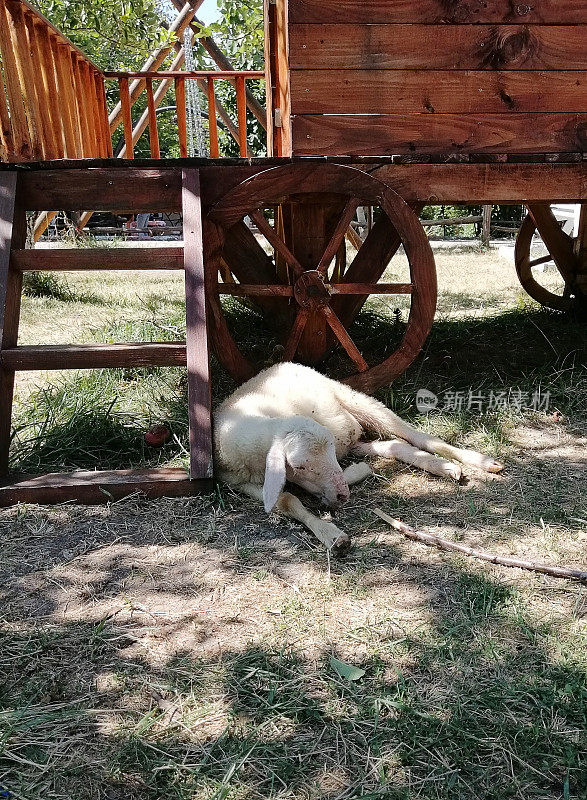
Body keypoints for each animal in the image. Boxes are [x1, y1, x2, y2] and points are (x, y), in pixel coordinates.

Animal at [214, 362, 504, 552]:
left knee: (415, 435)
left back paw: (477, 461)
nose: (342, 495)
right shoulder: (239, 481)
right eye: (299, 465)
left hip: (355, 400)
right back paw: (443, 467)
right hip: (354, 440)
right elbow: (286, 500)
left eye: (330, 448)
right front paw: (330, 533)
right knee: (395, 446)